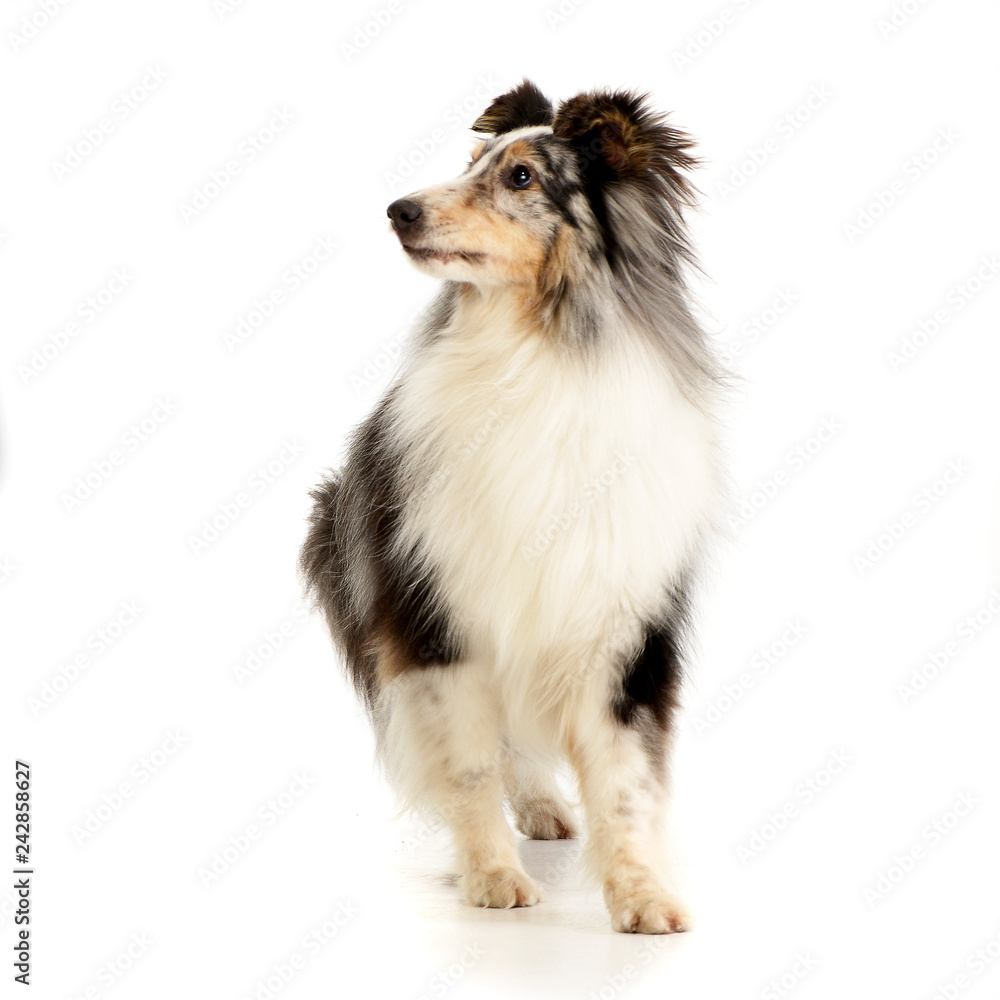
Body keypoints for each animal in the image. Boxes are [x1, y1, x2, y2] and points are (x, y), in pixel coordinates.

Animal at [300, 82, 724, 932]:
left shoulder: (618, 621)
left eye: (521, 176)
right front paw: (492, 876)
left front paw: (641, 896)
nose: (398, 210)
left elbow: (624, 782)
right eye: (469, 162)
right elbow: (466, 761)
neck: (530, 352)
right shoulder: (437, 611)